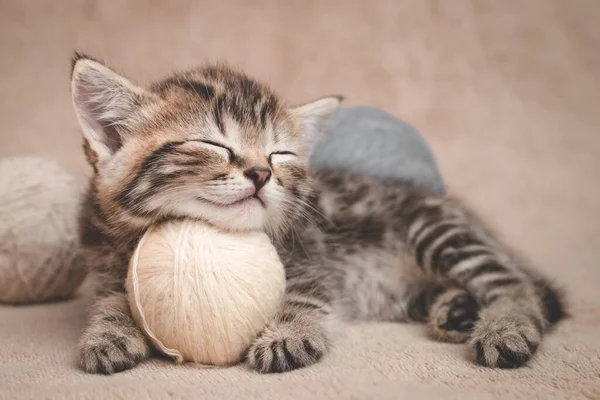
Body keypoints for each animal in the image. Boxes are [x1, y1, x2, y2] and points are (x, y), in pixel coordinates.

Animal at [71, 54, 568, 376]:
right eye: (213, 144)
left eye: (280, 154)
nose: (261, 173)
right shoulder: (106, 266)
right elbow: (112, 299)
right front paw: (108, 333)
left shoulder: (313, 256)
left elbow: (306, 296)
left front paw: (287, 334)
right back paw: (456, 311)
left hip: (437, 230)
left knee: (515, 284)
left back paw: (504, 327)